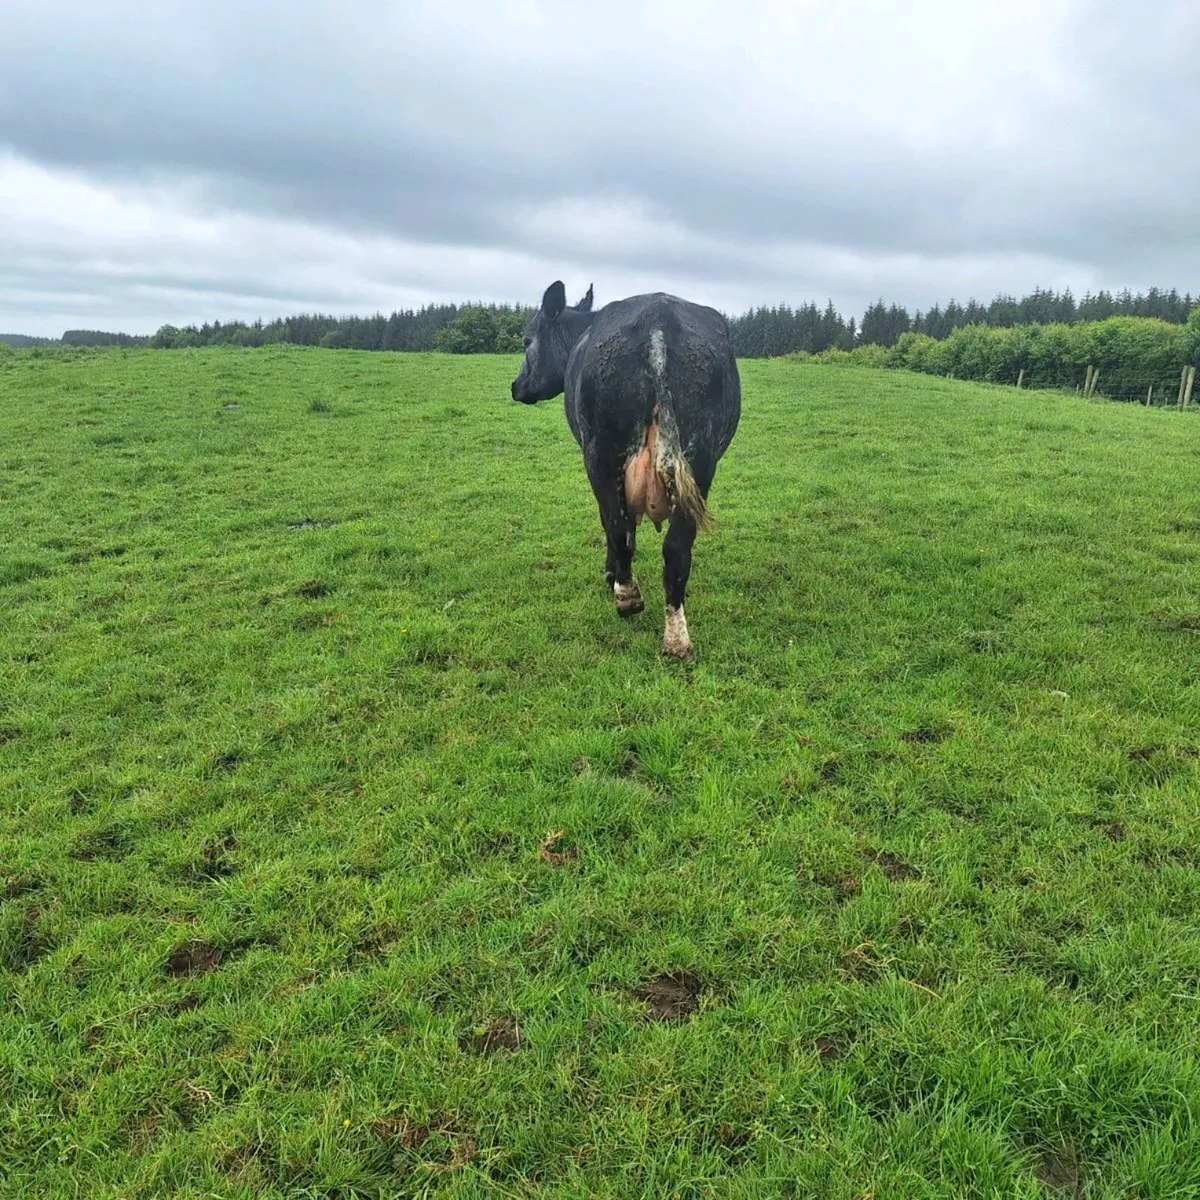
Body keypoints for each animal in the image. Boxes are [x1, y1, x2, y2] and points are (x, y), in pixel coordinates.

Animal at [511, 280, 741, 661]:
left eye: (527, 341)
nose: (516, 386)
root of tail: (658, 319)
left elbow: (613, 525)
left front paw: (610, 575)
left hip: (601, 453)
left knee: (617, 526)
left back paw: (626, 596)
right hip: (701, 460)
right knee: (677, 547)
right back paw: (677, 640)